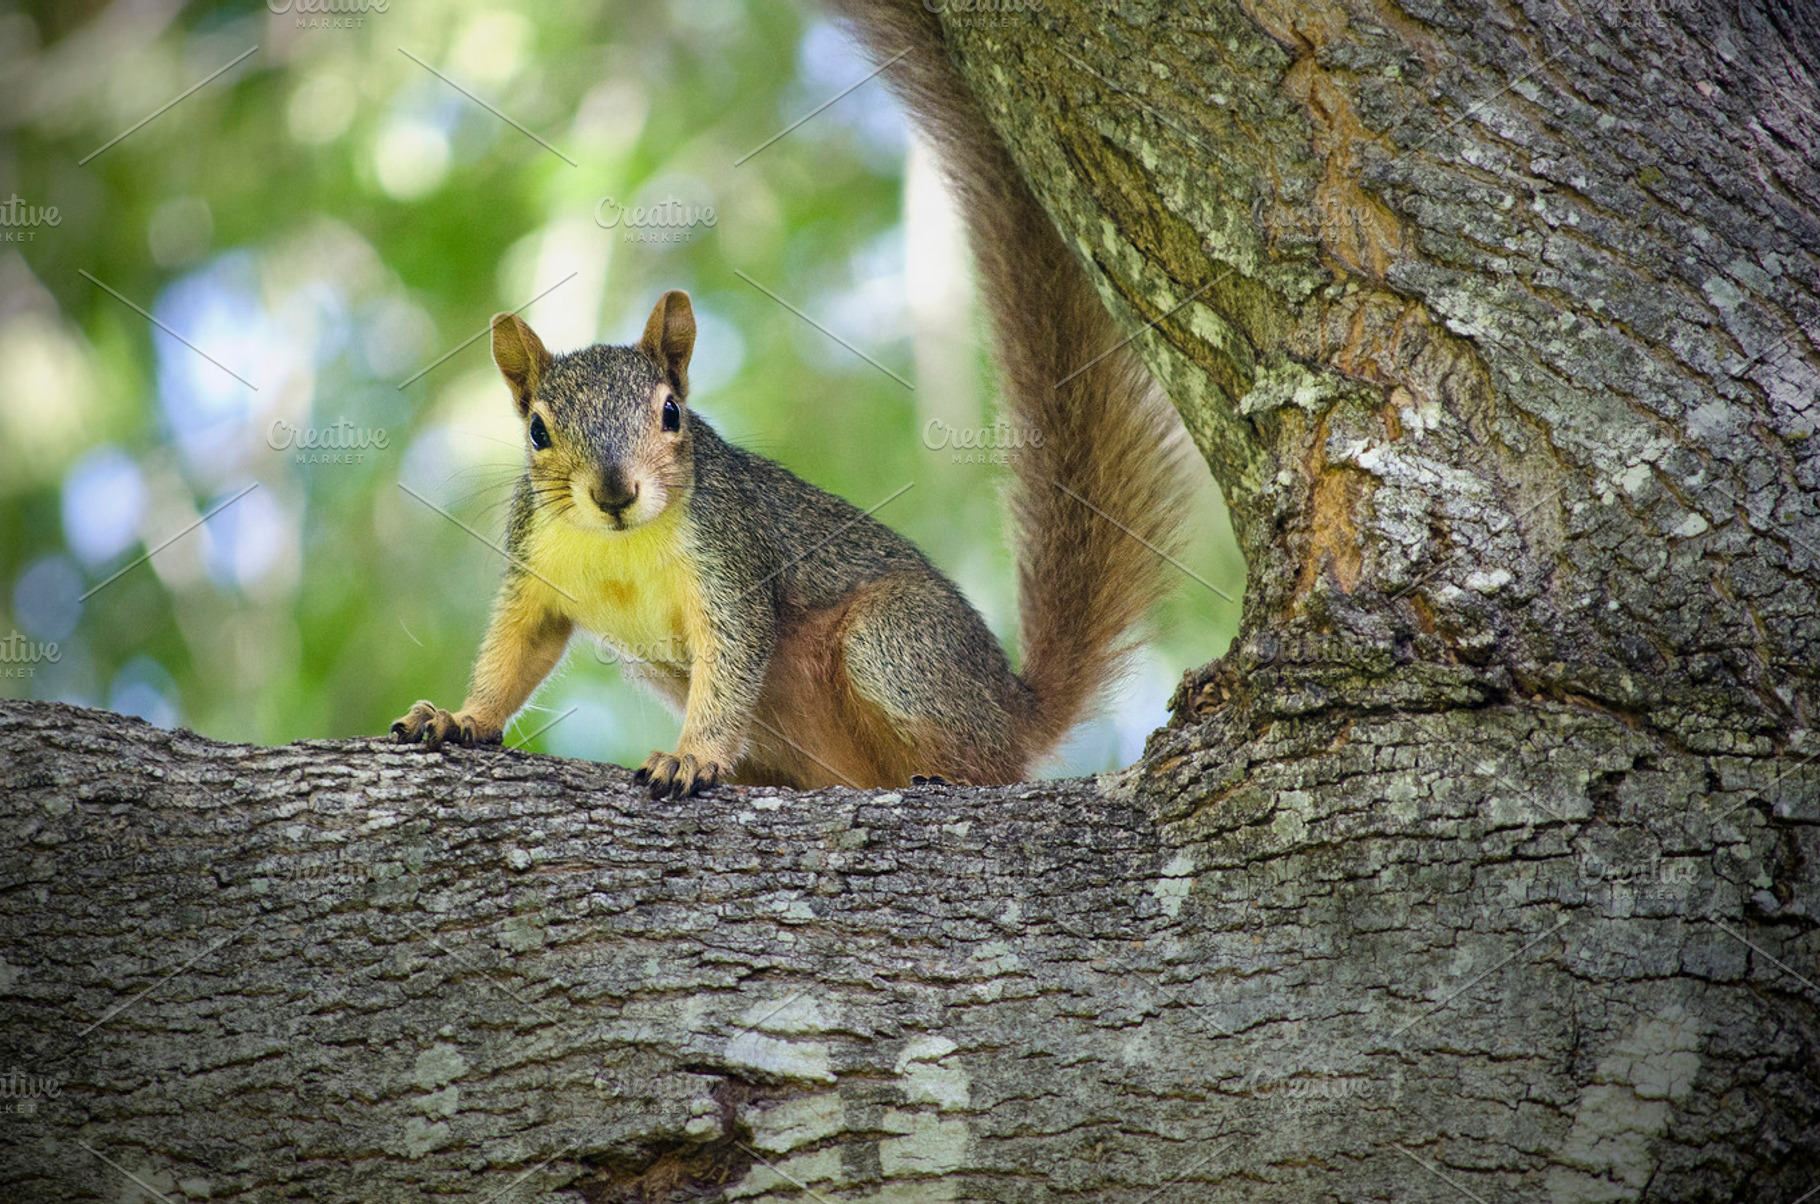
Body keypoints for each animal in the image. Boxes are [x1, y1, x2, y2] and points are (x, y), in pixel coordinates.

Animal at [391, 2, 1187, 797]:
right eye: (537, 431)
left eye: (671, 413)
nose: (615, 493)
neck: (622, 545)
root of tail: (1014, 706)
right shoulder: (536, 568)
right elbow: (515, 653)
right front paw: (461, 717)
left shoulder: (730, 563)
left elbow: (731, 664)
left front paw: (692, 755)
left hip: (894, 641)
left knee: (984, 757)